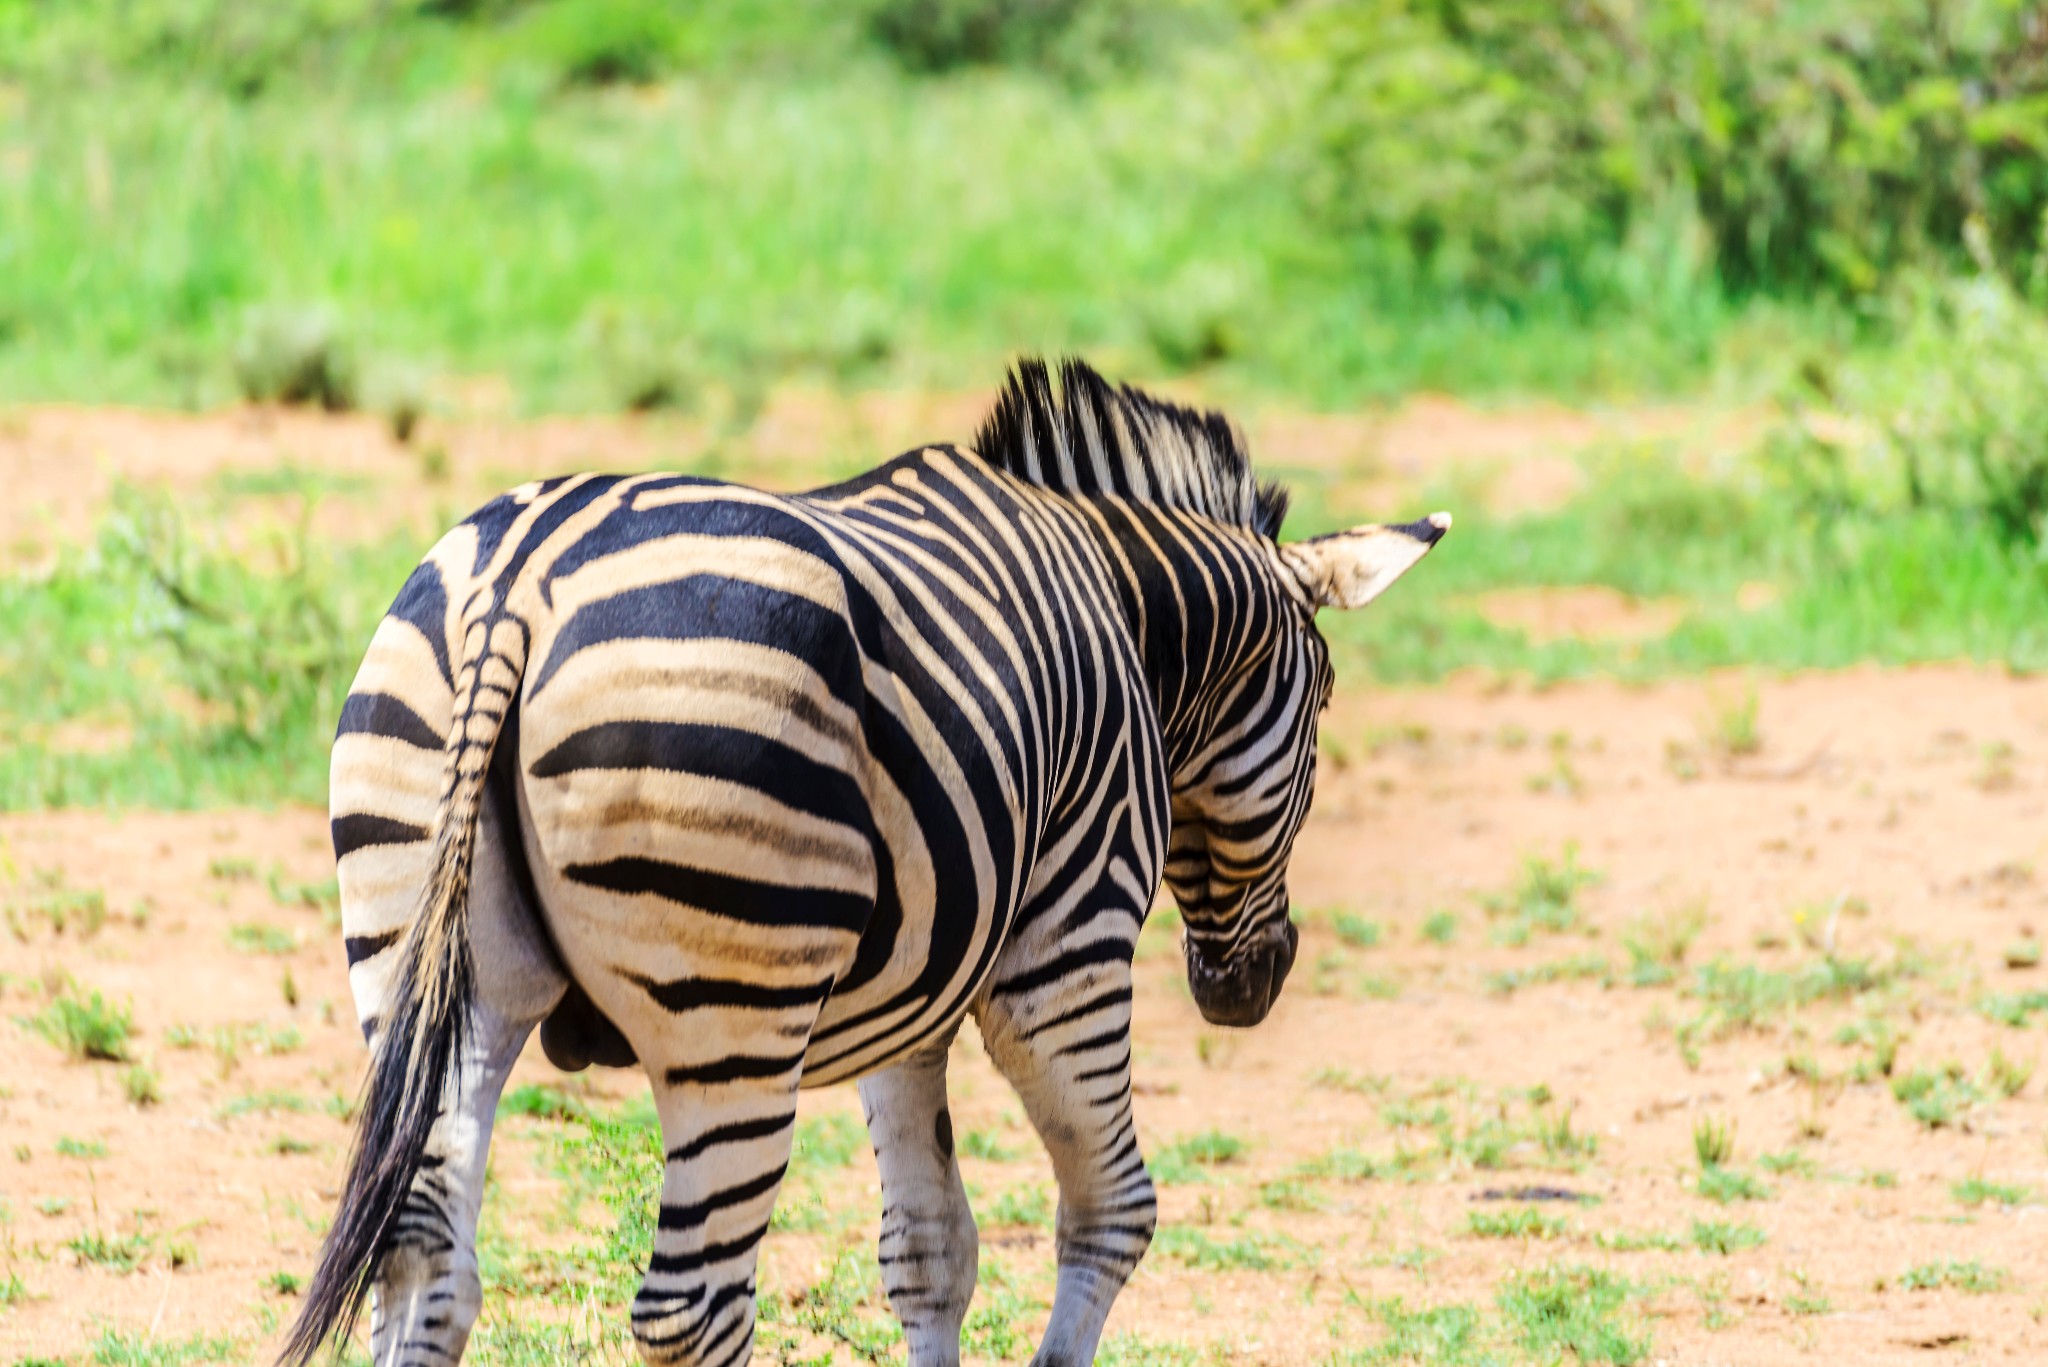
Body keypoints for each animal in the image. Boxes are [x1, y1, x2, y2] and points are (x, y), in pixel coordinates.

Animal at [280, 358, 1449, 1367]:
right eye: (1325, 702)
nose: (1256, 983)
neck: (1125, 607)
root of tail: (522, 582)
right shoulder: (1063, 945)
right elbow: (1112, 1208)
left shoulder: (913, 993)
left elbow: (929, 1248)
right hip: (734, 1012)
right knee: (692, 1306)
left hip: (426, 951)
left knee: (422, 1260)